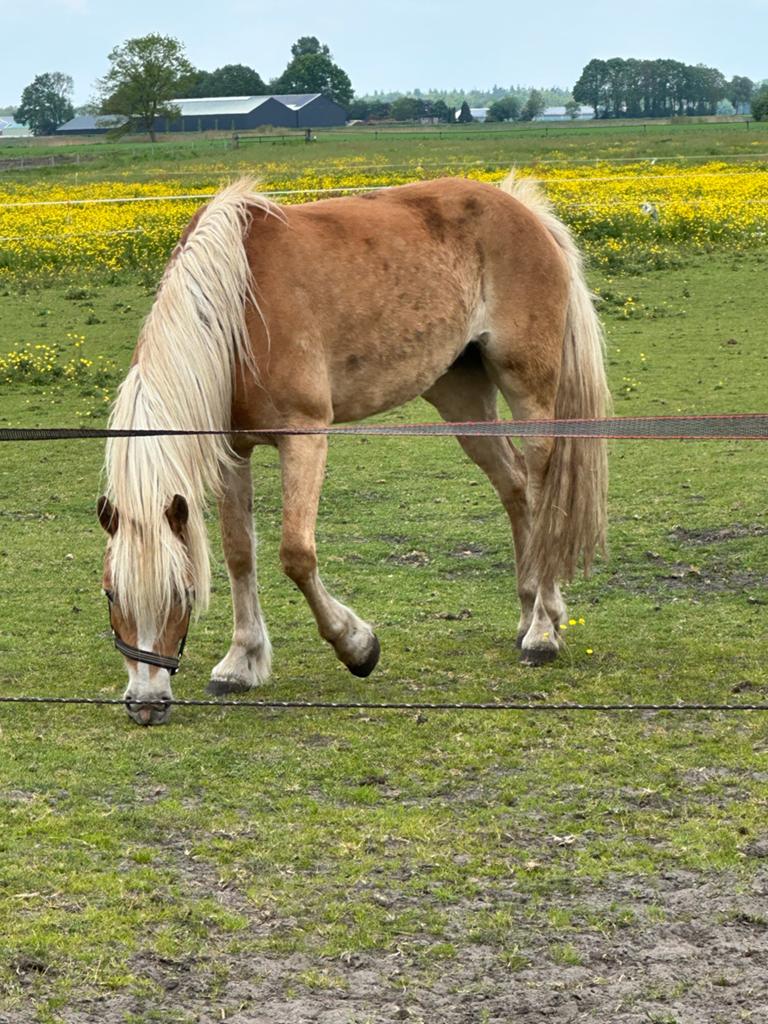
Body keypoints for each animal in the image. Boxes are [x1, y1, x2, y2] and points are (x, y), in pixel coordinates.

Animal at [97, 173, 609, 725]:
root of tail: (523, 209)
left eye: (183, 593)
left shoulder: (305, 436)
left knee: (542, 494)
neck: (237, 310)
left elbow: (295, 554)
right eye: (111, 593)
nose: (146, 704)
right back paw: (527, 611)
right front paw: (240, 662)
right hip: (462, 400)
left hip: (528, 391)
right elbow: (239, 553)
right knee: (514, 488)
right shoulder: (233, 451)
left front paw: (357, 647)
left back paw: (543, 629)